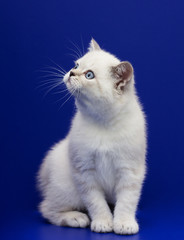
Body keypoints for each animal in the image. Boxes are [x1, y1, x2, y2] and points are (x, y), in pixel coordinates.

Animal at [37, 39, 147, 234]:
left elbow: (127, 202)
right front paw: (103, 223)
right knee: (46, 208)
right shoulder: (84, 172)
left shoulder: (130, 171)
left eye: (89, 75)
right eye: (76, 65)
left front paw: (124, 224)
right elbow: (96, 203)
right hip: (68, 190)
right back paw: (76, 218)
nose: (71, 73)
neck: (103, 122)